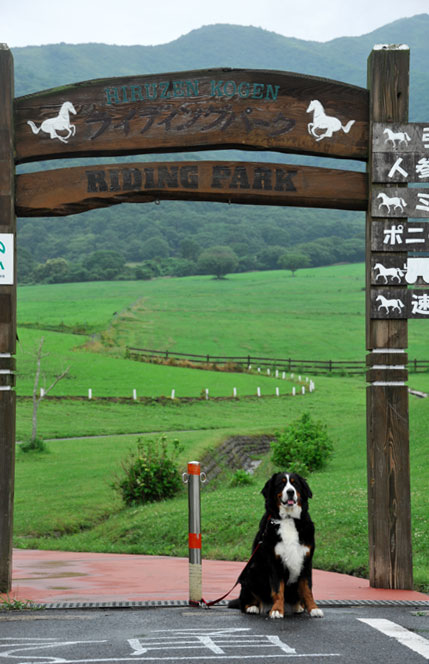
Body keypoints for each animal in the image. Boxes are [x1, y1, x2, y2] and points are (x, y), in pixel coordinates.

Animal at [231, 472, 320, 616]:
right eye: (281, 484)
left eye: (295, 483)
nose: (290, 492)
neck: (288, 519)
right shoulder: (274, 561)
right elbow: (278, 589)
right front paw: (277, 610)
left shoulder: (306, 560)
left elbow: (307, 589)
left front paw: (313, 608)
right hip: (251, 571)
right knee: (244, 601)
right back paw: (252, 607)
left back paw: (298, 607)